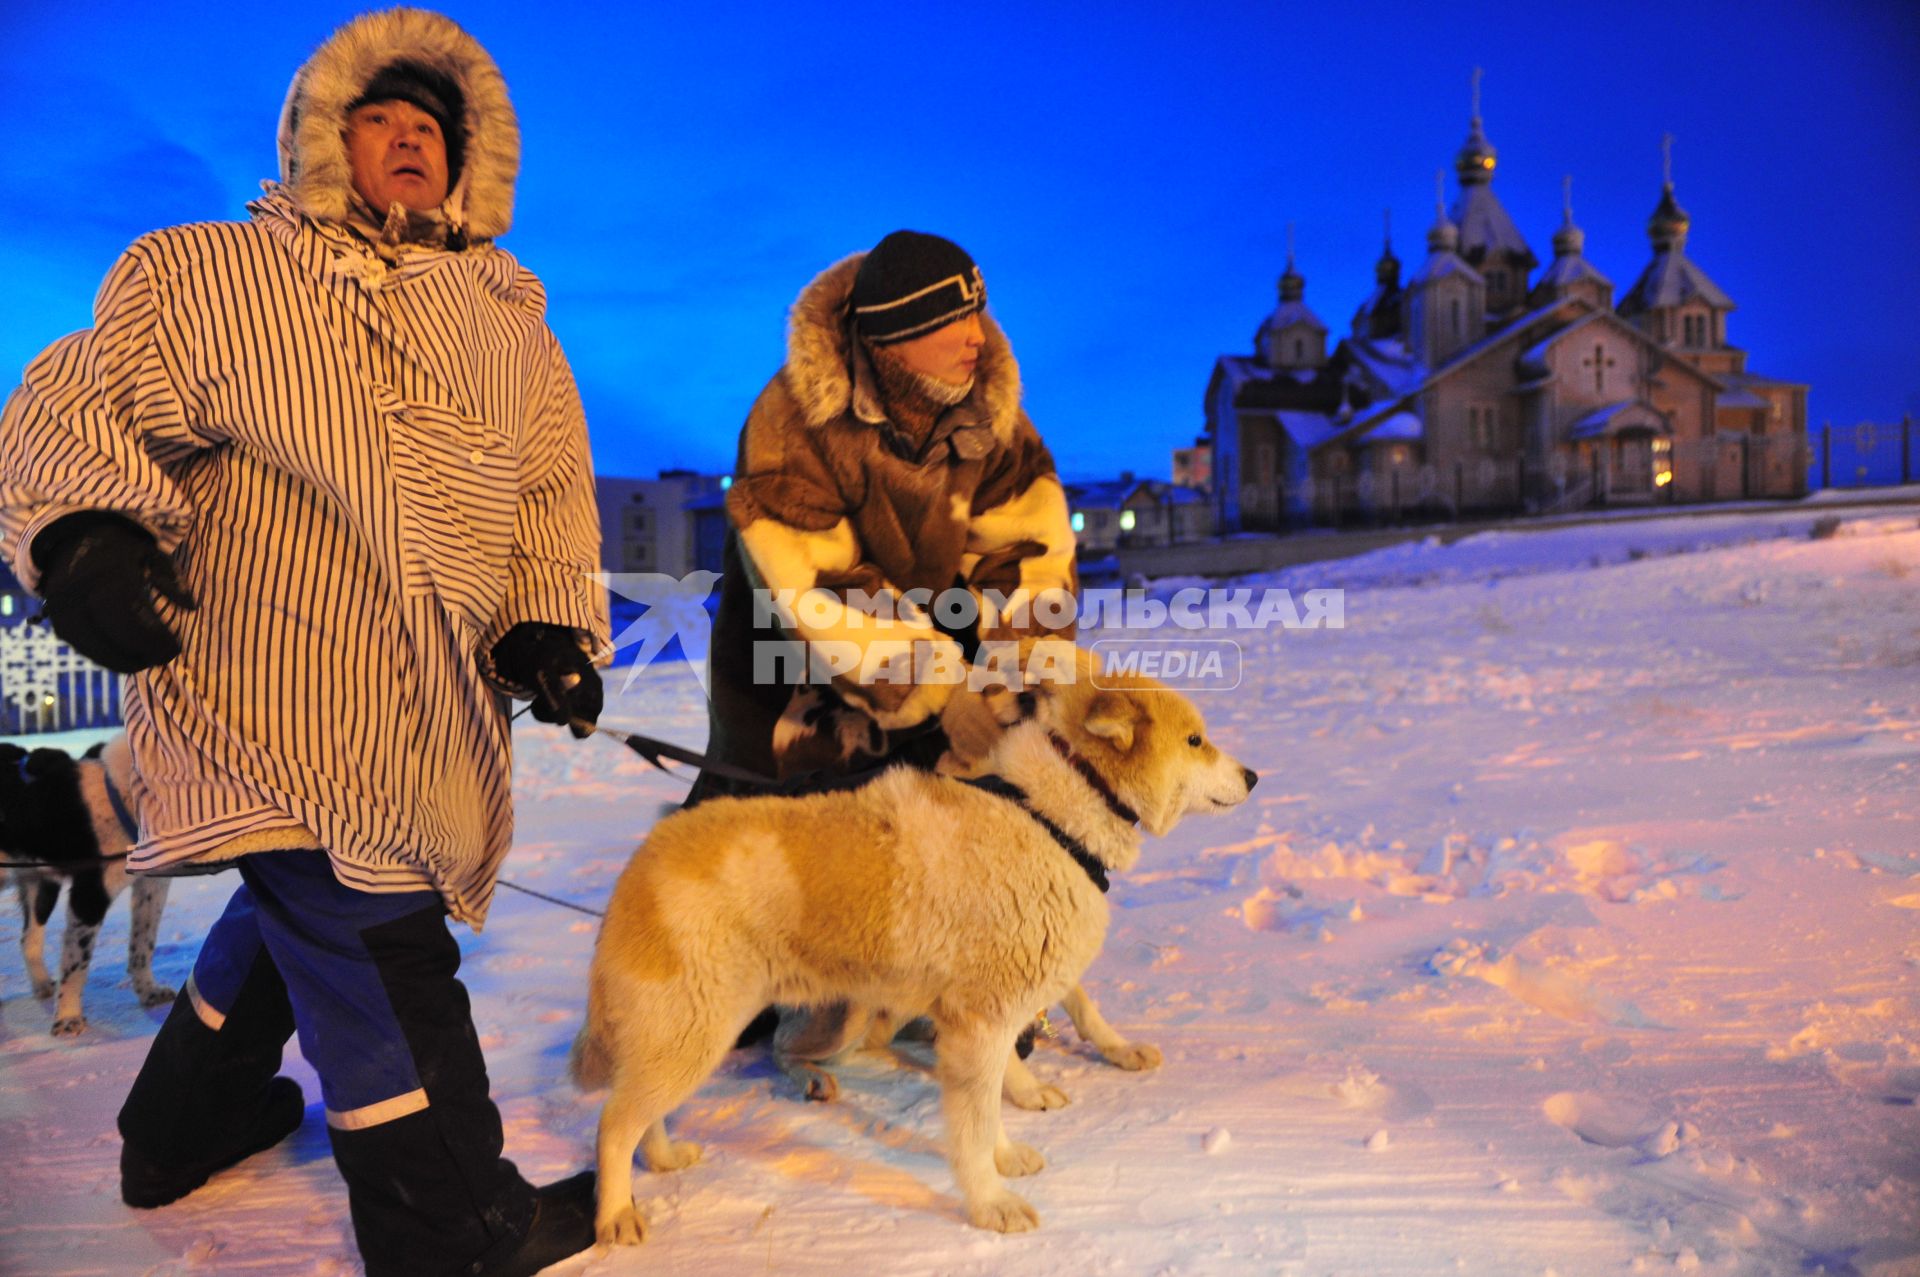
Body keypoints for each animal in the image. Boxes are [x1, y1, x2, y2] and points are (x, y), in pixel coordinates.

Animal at [1, 733, 172, 1029]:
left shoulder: (151, 887)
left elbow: (143, 945)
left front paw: (149, 992)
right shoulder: (90, 894)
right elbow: (76, 962)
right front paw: (67, 1019)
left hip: (42, 884)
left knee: (28, 939)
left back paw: (42, 985)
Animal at [572, 649, 1259, 1236]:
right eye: (1195, 741)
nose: (1254, 775)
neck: (1047, 814)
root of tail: (638, 866)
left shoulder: (985, 1020)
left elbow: (995, 1102)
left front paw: (1006, 1156)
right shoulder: (981, 1024)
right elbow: (974, 1127)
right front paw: (991, 1205)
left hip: (696, 1034)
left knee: (644, 1109)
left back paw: (663, 1158)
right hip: (707, 1030)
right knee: (614, 1121)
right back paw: (617, 1214)